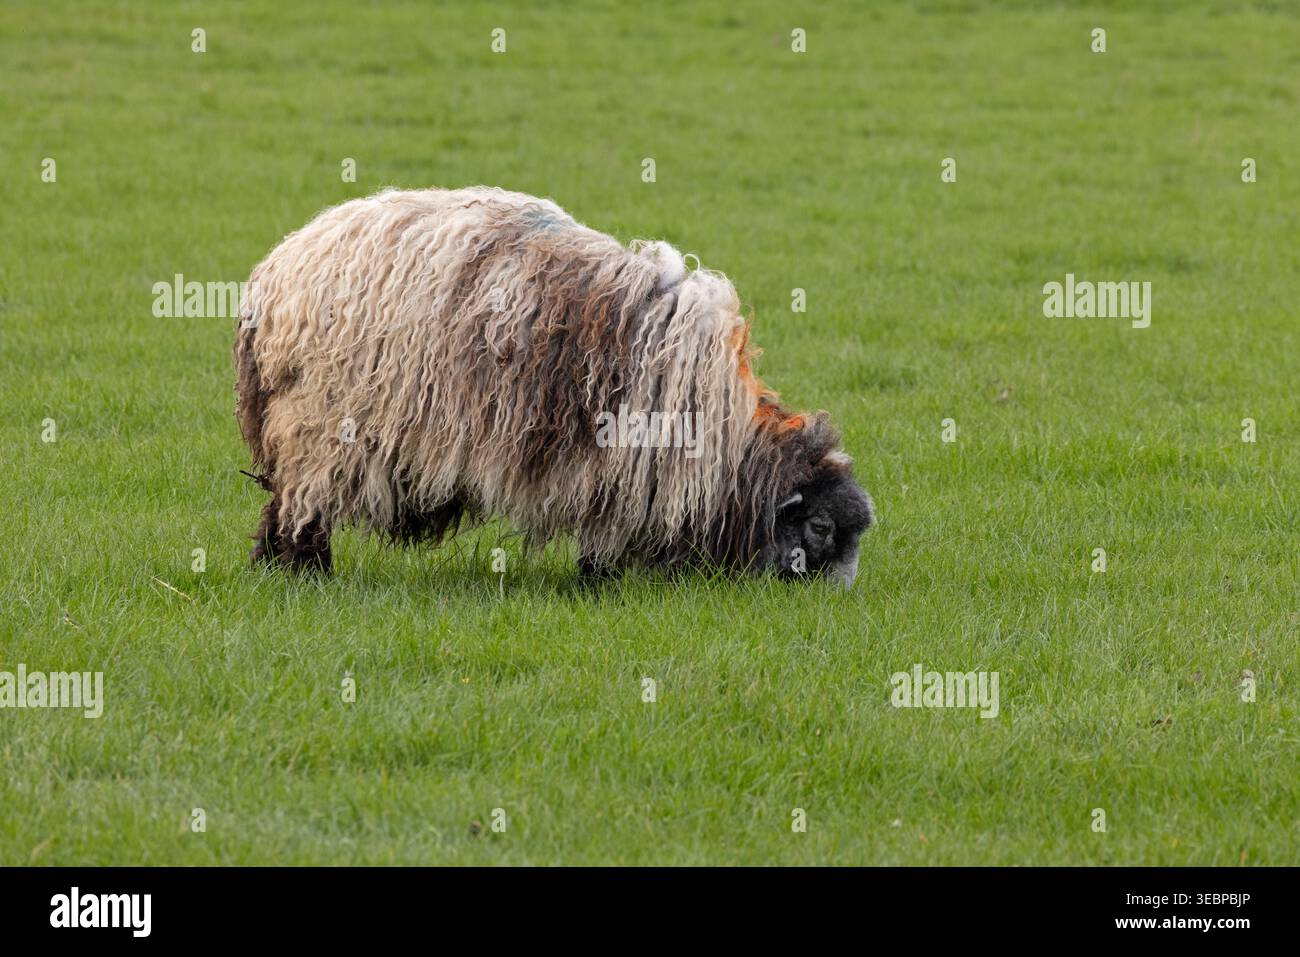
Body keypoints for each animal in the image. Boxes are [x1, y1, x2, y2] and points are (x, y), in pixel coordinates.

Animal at [234, 187, 874, 584]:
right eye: (820, 528)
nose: (834, 599)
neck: (726, 444)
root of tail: (273, 274)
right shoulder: (617, 463)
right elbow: (606, 531)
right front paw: (600, 578)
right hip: (319, 424)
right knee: (299, 507)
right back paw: (305, 571)